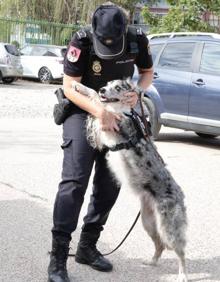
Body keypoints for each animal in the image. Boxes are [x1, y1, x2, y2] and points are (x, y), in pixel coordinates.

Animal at [72, 78, 187, 280]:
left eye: (118, 88)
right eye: (107, 84)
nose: (103, 89)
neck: (122, 110)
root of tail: (180, 194)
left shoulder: (113, 127)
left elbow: (98, 103)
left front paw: (87, 91)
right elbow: (95, 98)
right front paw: (80, 87)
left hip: (169, 228)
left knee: (180, 252)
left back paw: (182, 275)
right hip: (149, 222)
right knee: (160, 245)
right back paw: (151, 262)